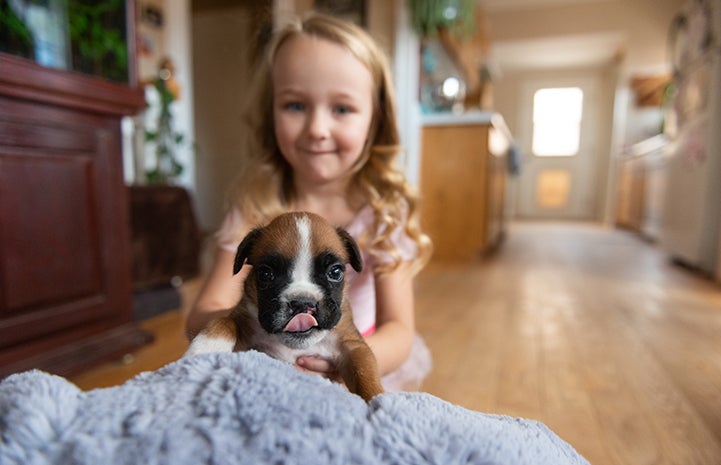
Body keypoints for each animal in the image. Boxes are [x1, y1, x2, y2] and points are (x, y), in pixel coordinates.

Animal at [183, 212, 386, 400]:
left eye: (335, 272)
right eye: (266, 274)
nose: (302, 303)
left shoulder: (353, 347)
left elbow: (365, 375)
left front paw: (378, 401)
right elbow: (224, 322)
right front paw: (205, 349)